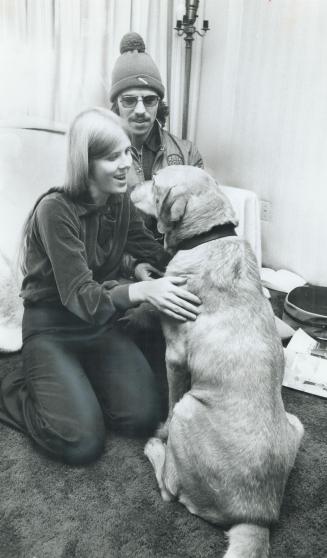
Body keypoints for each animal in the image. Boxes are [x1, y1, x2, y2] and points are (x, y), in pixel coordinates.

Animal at [131, 167, 304, 558]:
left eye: (155, 181)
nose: (130, 185)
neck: (206, 238)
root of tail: (258, 518)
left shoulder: (175, 356)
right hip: (297, 422)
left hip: (187, 410)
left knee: (170, 489)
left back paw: (155, 447)